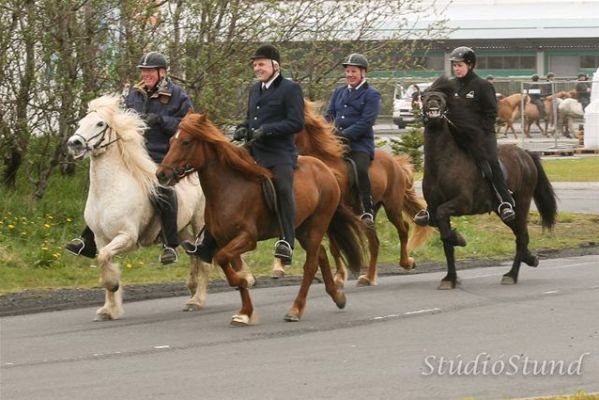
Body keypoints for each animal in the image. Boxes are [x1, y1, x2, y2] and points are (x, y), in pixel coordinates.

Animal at [65, 94, 218, 322]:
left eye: (100, 123)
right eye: (81, 122)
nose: (74, 144)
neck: (108, 190)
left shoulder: (127, 237)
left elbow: (105, 261)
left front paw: (113, 287)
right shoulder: (101, 240)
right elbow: (104, 261)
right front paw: (108, 309)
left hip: (200, 221)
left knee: (204, 260)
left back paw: (197, 300)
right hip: (180, 229)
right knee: (194, 254)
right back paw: (191, 289)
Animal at [156, 112, 366, 324]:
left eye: (186, 142)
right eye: (171, 140)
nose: (161, 174)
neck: (228, 187)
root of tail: (325, 169)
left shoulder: (247, 238)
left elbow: (223, 259)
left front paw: (243, 283)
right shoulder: (226, 239)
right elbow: (231, 265)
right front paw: (245, 311)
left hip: (317, 224)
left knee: (311, 264)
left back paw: (296, 309)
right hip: (301, 228)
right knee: (321, 254)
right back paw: (337, 296)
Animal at [274, 101, 434, 286]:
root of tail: (395, 162)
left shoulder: (333, 215)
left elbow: (335, 245)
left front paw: (338, 276)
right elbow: (334, 247)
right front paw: (338, 276)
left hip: (392, 206)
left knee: (403, 229)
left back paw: (406, 262)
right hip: (368, 213)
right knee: (374, 242)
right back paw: (369, 277)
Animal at [422, 77, 556, 290]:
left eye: (441, 96)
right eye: (423, 96)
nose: (433, 100)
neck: (443, 163)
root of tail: (525, 154)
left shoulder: (462, 203)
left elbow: (446, 226)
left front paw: (459, 239)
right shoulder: (434, 209)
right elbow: (445, 241)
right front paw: (450, 278)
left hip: (521, 203)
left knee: (522, 237)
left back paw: (512, 274)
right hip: (503, 211)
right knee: (519, 235)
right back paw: (529, 259)